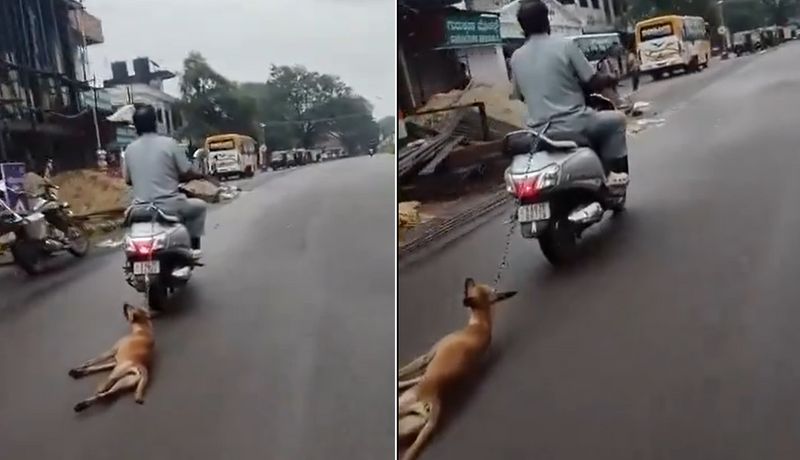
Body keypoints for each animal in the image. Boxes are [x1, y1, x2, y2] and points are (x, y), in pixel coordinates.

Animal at [396, 278, 520, 458]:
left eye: (471, 287)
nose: (468, 279)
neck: (481, 324)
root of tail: (434, 402)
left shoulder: (426, 357)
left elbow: (405, 370)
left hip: (402, 404)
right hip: (406, 424)